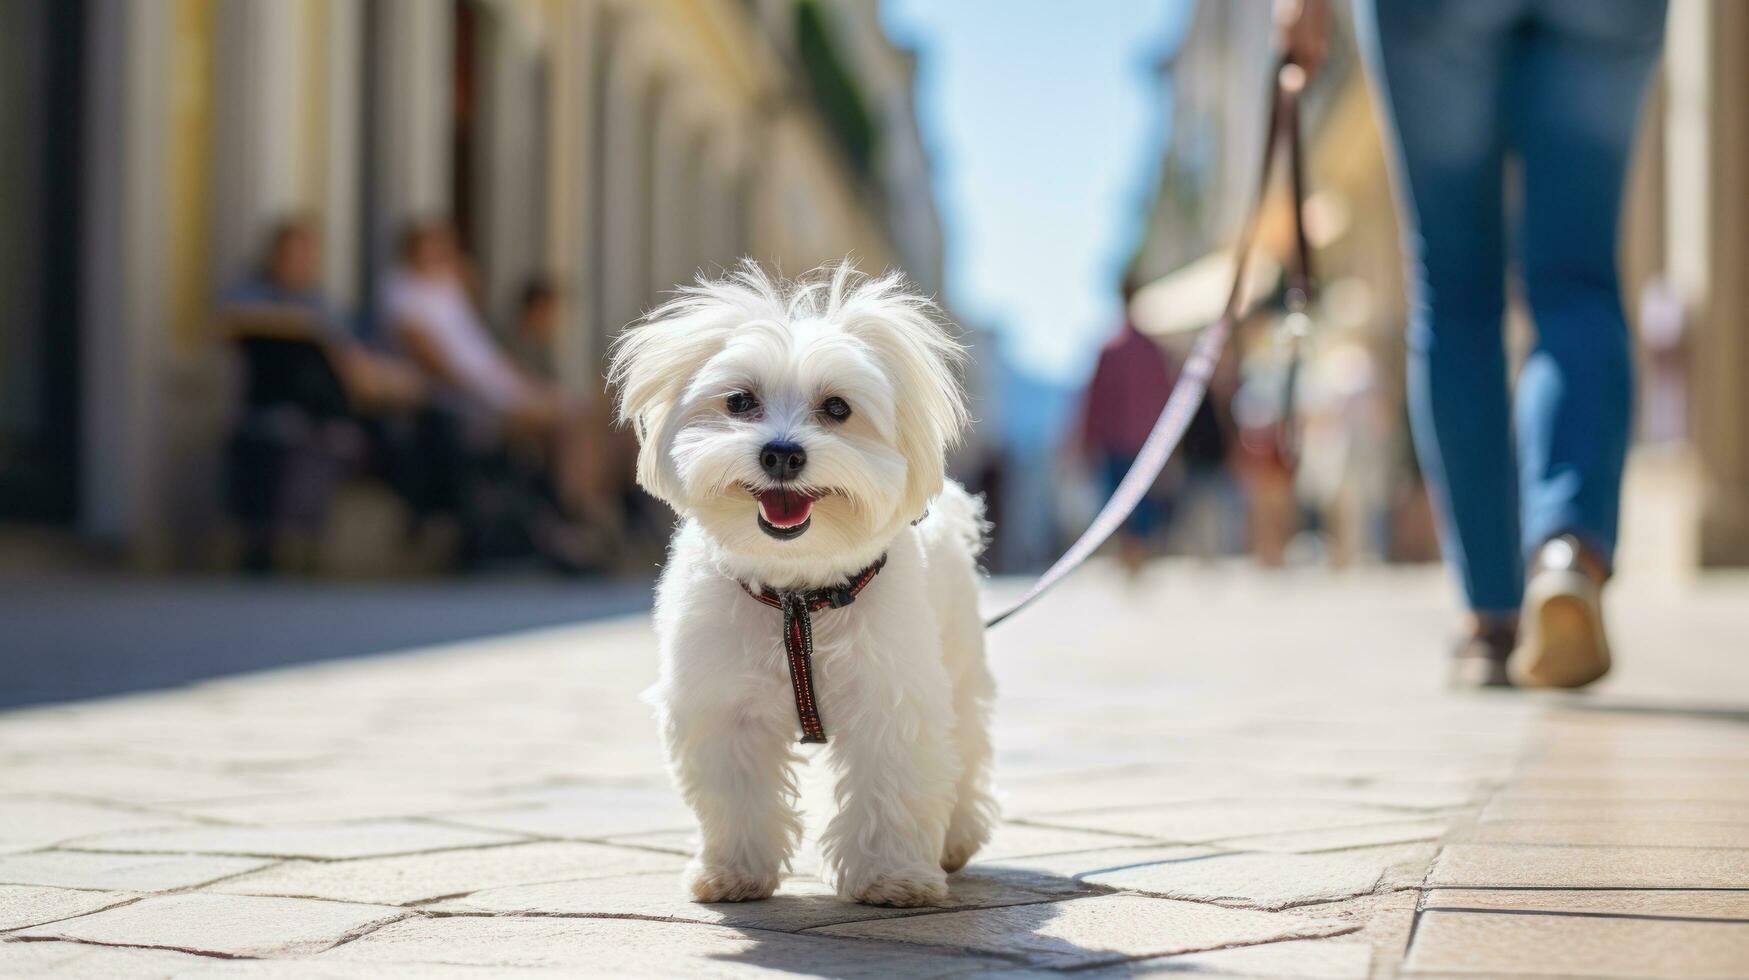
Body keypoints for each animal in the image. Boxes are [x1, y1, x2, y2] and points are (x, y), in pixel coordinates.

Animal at [608, 262, 1000, 910]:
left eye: (837, 408)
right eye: (740, 401)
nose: (782, 454)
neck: (797, 597)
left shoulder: (891, 699)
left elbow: (892, 787)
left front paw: (892, 877)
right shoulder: (722, 704)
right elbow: (734, 793)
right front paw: (733, 872)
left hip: (960, 660)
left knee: (964, 746)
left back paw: (954, 840)